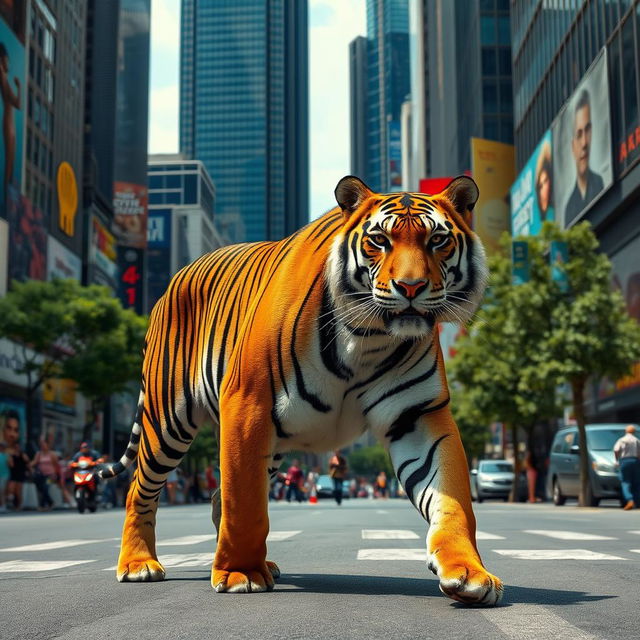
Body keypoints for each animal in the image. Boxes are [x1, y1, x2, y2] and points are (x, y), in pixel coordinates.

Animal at [100, 175, 503, 606]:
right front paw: (240, 573)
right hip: (169, 422)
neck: (369, 338)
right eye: (379, 240)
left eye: (437, 241)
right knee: (141, 490)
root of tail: (174, 280)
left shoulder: (418, 416)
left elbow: (452, 499)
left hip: (270, 445)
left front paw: (468, 572)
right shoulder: (248, 404)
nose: (410, 287)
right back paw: (139, 564)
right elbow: (246, 505)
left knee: (218, 495)